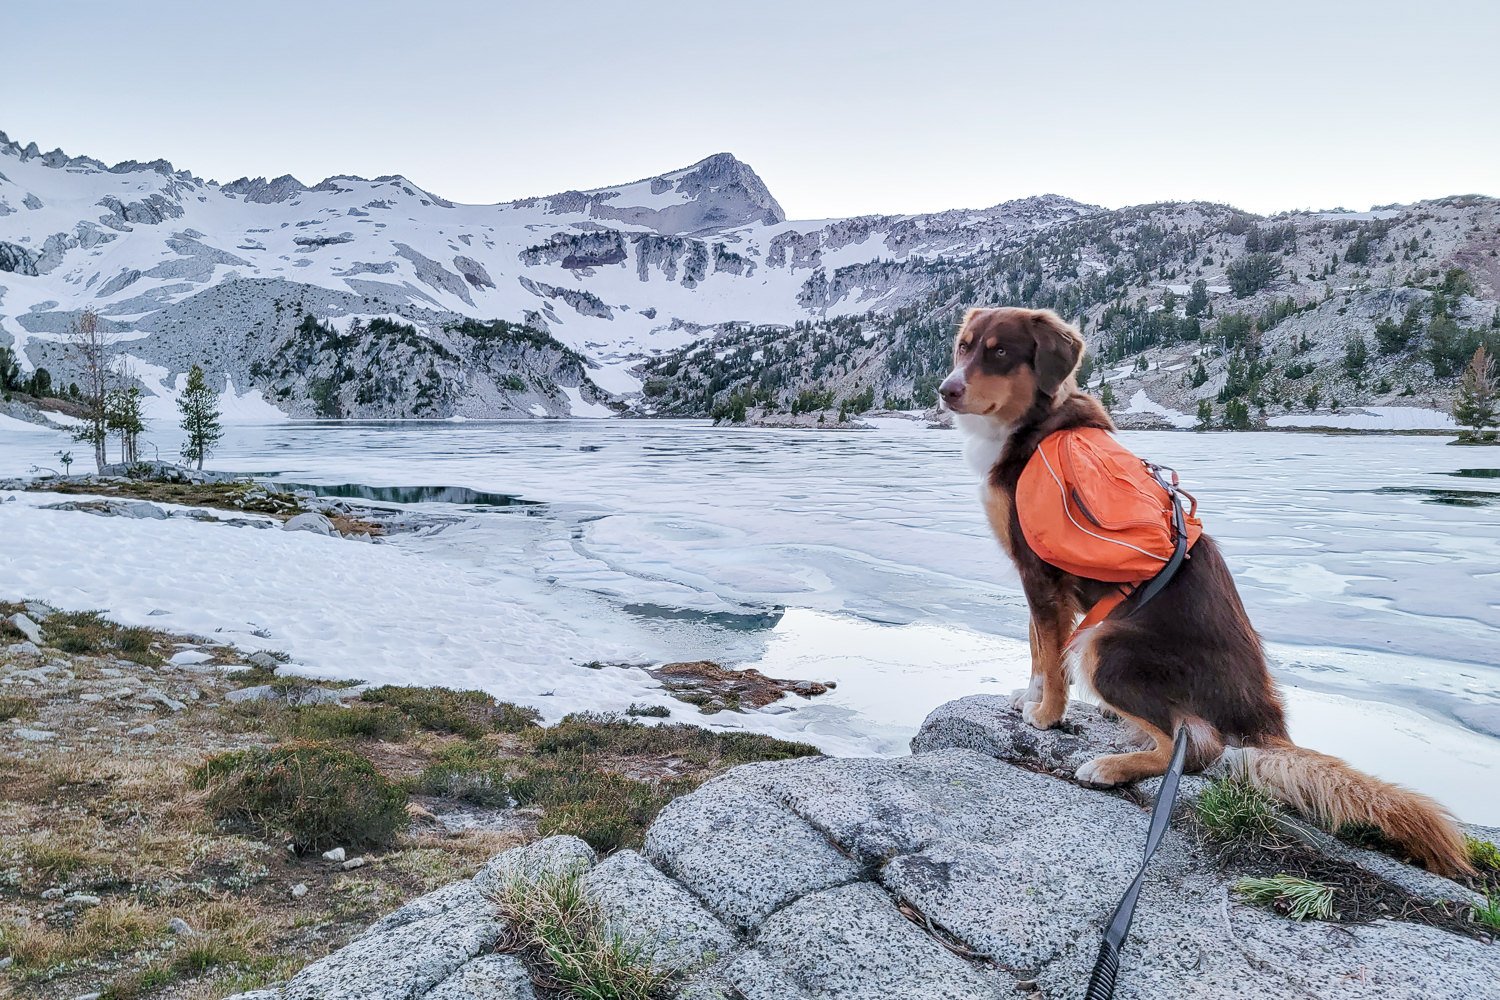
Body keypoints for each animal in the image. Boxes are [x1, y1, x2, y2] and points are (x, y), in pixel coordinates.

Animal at [942, 305, 1470, 875]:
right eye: (964, 346)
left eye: (999, 352)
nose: (945, 391)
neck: (1030, 428)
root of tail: (1263, 721)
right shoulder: (1038, 582)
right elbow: (1037, 648)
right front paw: (1031, 697)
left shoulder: (1040, 576)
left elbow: (1048, 654)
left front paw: (1045, 715)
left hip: (1106, 645)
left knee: (1198, 748)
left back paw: (1110, 766)